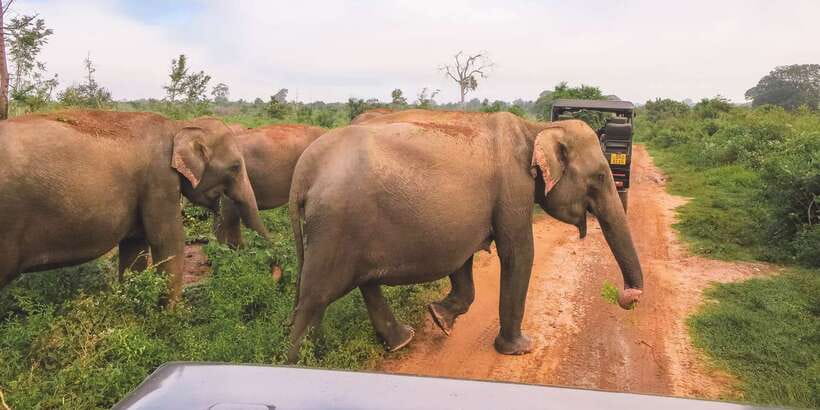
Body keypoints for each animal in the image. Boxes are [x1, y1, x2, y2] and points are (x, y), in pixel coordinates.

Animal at [0, 110, 268, 304]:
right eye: (235, 167)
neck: (179, 126)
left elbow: (135, 246)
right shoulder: (159, 179)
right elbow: (167, 241)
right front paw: (173, 318)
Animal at [286, 109, 643, 362]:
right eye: (600, 176)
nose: (628, 297)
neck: (536, 128)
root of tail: (303, 171)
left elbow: (463, 261)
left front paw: (440, 318)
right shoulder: (513, 187)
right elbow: (519, 253)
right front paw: (519, 349)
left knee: (360, 283)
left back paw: (395, 342)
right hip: (335, 223)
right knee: (314, 298)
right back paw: (298, 362)